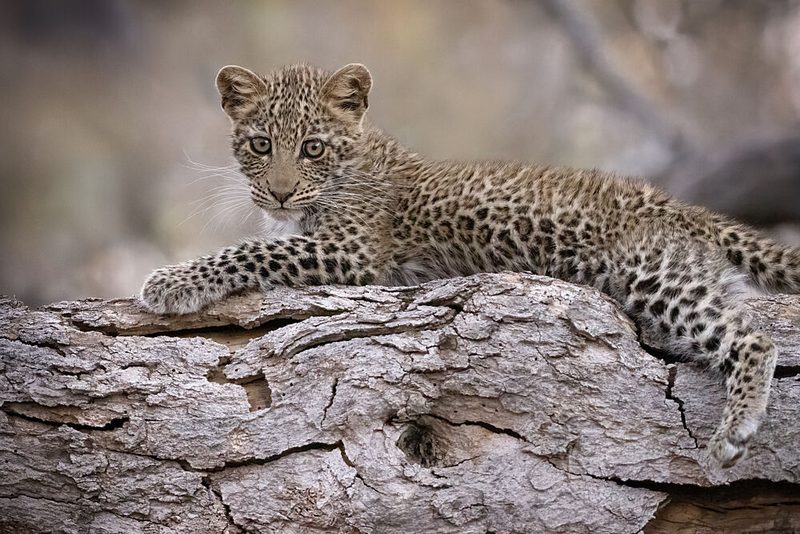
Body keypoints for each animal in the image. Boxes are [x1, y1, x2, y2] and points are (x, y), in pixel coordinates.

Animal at [140, 62, 800, 468]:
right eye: (260, 145)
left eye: (312, 147)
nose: (277, 194)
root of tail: (676, 204)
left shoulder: (352, 250)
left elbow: (252, 250)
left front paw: (169, 282)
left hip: (651, 273)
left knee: (754, 337)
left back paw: (733, 433)